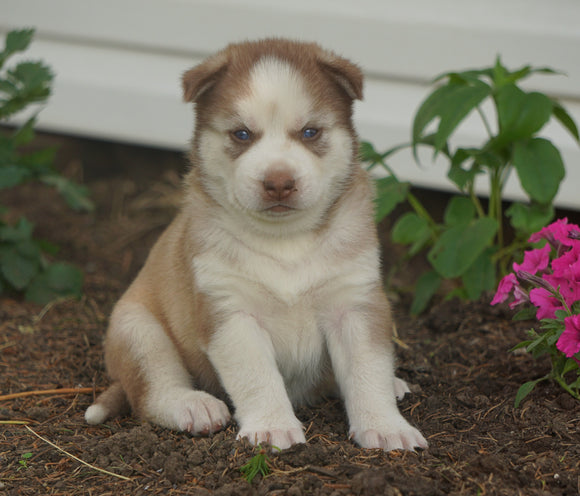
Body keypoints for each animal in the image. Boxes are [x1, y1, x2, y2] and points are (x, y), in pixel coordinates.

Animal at [86, 37, 426, 454]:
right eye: (242, 134)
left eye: (310, 132)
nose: (278, 182)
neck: (286, 241)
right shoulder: (230, 311)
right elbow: (257, 376)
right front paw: (271, 427)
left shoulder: (354, 303)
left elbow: (367, 369)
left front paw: (386, 427)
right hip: (137, 330)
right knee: (151, 390)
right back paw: (193, 405)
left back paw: (391, 384)